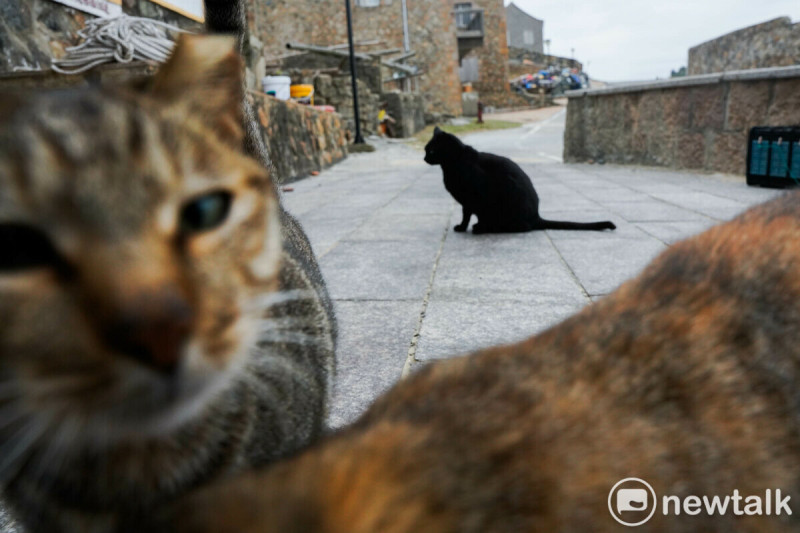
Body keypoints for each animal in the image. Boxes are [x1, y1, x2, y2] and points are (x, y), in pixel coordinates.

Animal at [424, 127, 620, 233]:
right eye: (425, 150)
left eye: (431, 151)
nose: (424, 158)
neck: (453, 163)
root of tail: (536, 216)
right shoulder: (467, 202)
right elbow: (466, 214)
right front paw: (463, 227)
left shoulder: (471, 199)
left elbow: (466, 215)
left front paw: (463, 227)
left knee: (523, 227)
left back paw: (484, 228)